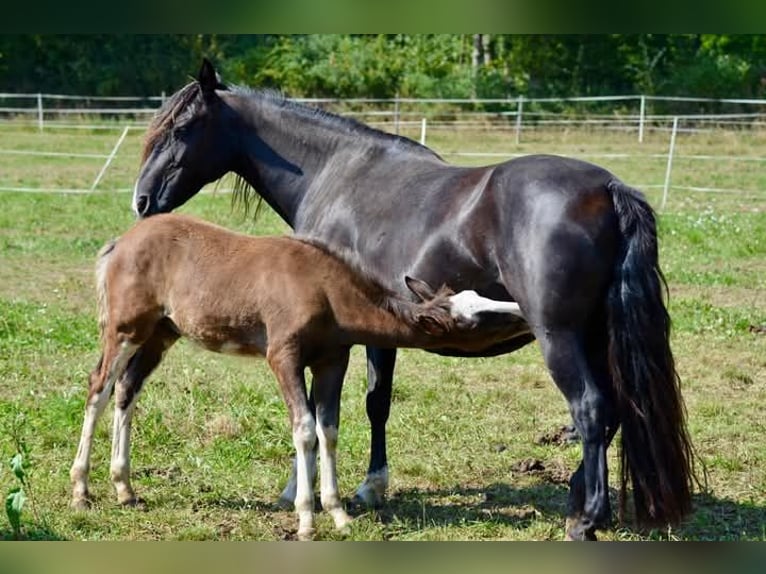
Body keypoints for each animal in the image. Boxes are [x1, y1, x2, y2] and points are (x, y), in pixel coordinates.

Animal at [130, 60, 696, 544]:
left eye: (182, 128)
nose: (141, 201)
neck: (335, 176)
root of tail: (609, 187)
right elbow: (370, 405)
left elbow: (346, 407)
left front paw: (330, 490)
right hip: (599, 338)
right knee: (617, 410)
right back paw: (580, 499)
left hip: (559, 338)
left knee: (592, 410)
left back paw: (586, 519)